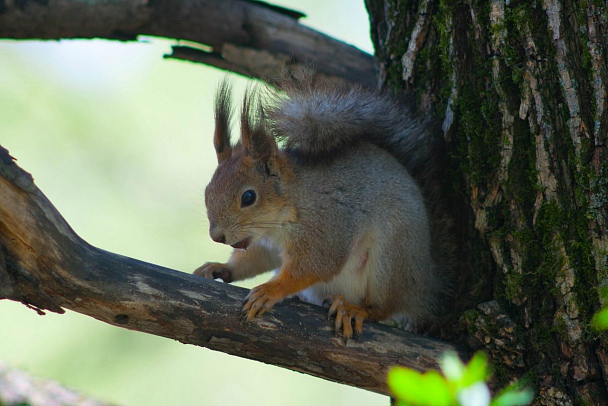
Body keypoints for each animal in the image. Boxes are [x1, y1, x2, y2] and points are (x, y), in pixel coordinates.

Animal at [192, 71, 454, 338]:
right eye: (208, 191)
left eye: (248, 197)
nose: (217, 236)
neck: (290, 205)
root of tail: (427, 286)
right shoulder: (267, 245)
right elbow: (255, 259)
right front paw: (221, 267)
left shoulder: (325, 225)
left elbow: (316, 265)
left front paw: (270, 290)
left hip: (392, 259)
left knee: (383, 307)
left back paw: (355, 310)